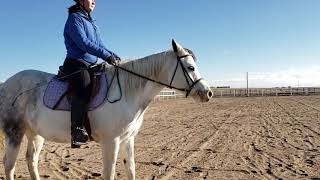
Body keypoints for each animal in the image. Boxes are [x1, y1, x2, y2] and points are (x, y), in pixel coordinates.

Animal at [0, 40, 212, 179]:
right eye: (191, 67)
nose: (208, 93)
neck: (126, 91)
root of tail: (6, 84)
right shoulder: (111, 141)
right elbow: (109, 174)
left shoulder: (128, 139)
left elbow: (131, 169)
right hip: (15, 134)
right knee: (9, 165)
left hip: (35, 134)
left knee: (31, 160)